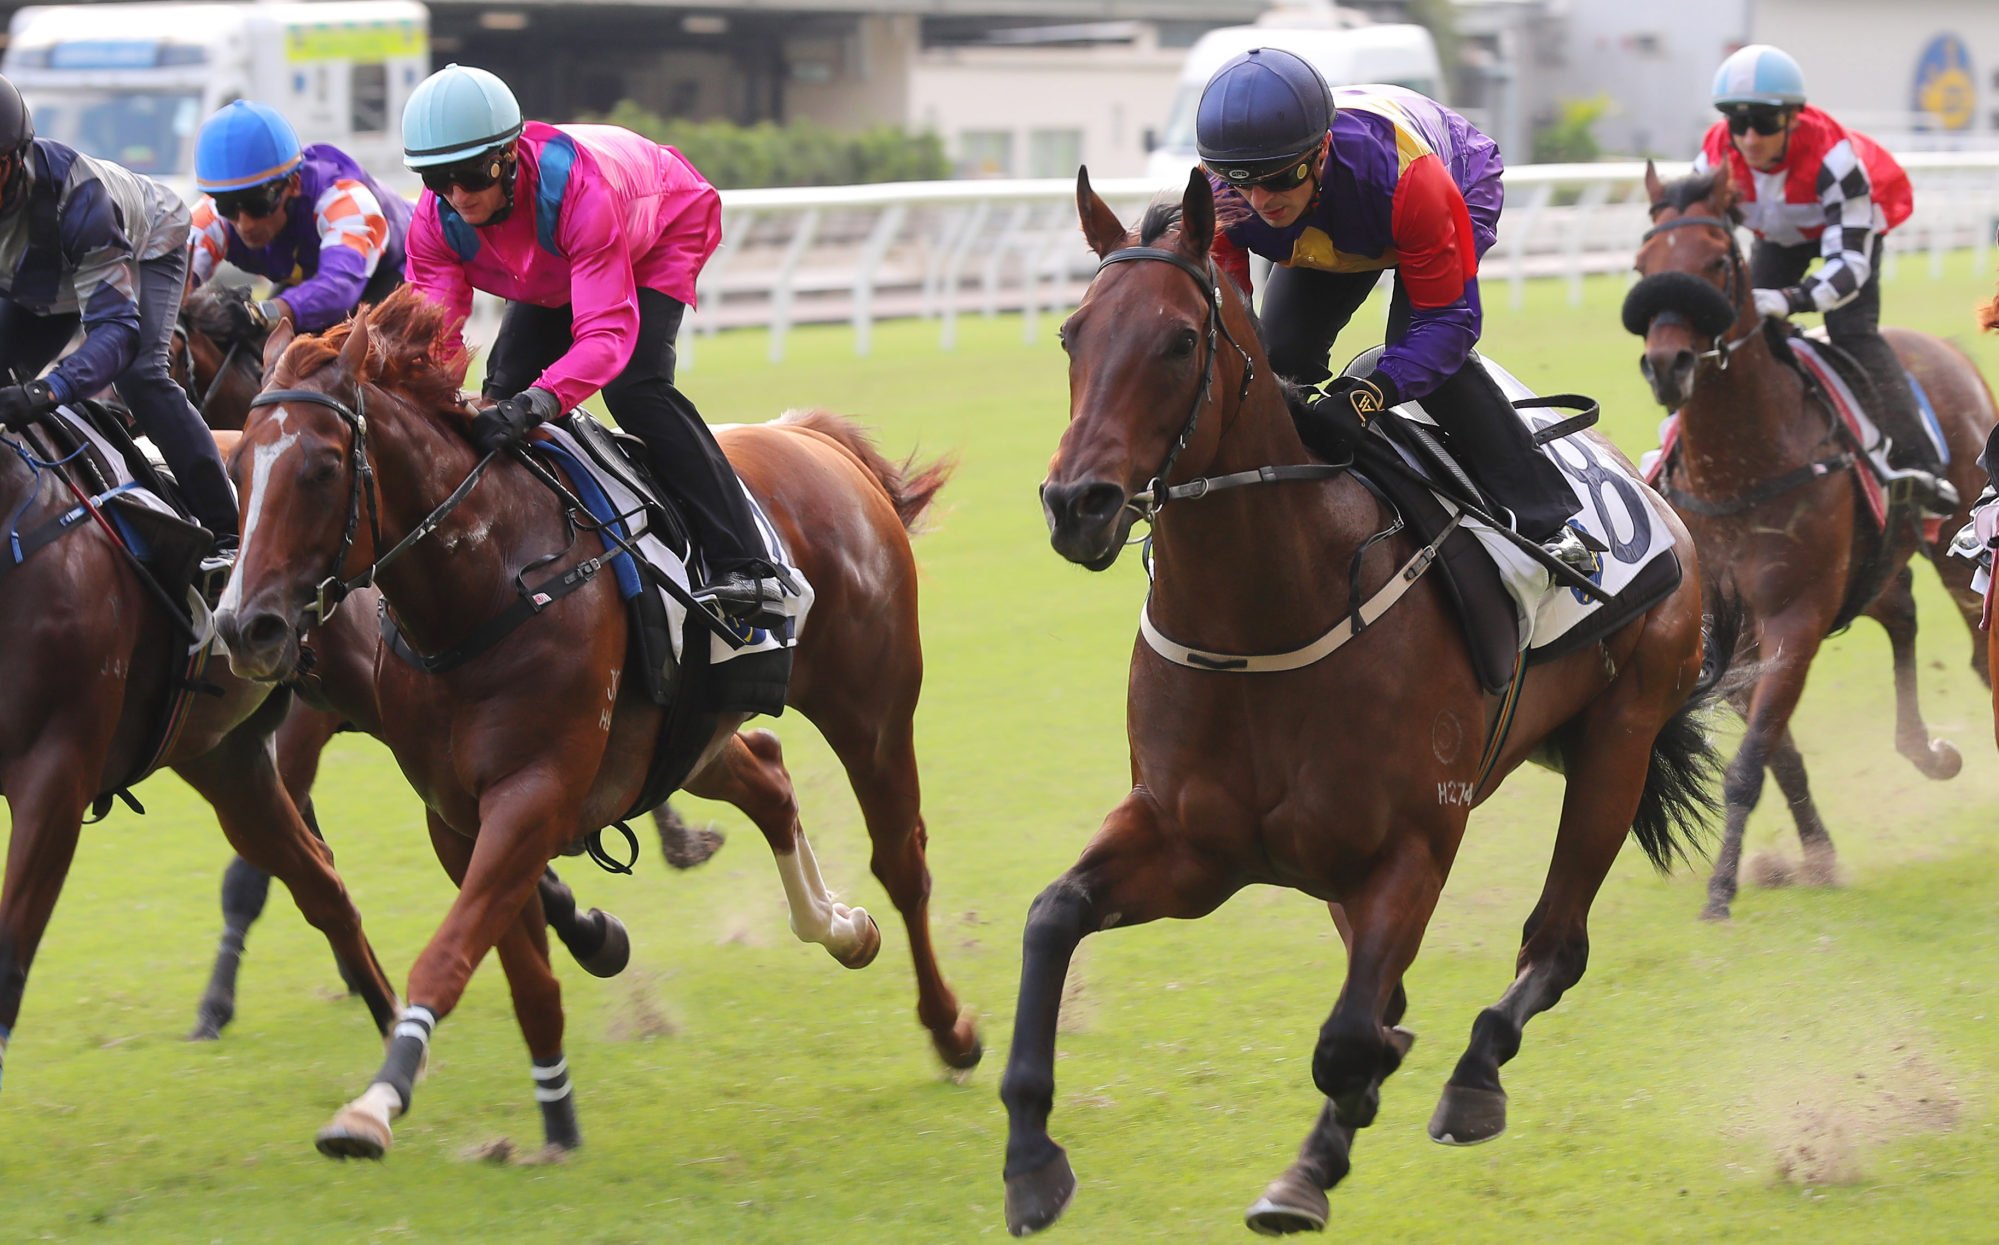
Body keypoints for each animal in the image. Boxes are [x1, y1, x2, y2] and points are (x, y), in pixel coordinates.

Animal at [214, 287, 979, 1167]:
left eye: (321, 467)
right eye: (237, 468)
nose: (244, 626)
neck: (488, 583)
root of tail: (813, 439)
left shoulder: (532, 796)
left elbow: (447, 955)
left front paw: (373, 1105)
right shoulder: (457, 817)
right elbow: (525, 977)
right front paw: (556, 1113)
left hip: (872, 709)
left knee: (901, 860)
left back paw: (950, 1028)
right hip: (691, 737)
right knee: (769, 777)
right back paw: (840, 927)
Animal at [1007, 170, 1727, 1239]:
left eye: (1177, 340)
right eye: (1070, 333)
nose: (1076, 503)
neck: (1266, 613)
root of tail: (1658, 504)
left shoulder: (1411, 845)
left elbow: (1348, 1036)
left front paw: (1317, 1159)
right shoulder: (1190, 845)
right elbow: (1052, 916)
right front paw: (1029, 1157)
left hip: (1619, 741)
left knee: (1555, 943)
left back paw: (1472, 1075)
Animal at [1631, 162, 1991, 927]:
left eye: (1717, 262)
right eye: (1644, 264)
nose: (1667, 363)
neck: (1741, 464)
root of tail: (1951, 351)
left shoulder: (1793, 617)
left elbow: (1750, 760)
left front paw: (1721, 891)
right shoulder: (1729, 635)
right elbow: (1778, 753)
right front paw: (1817, 859)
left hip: (1957, 546)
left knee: (1978, 649)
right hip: (1872, 566)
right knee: (1901, 615)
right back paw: (1925, 750)